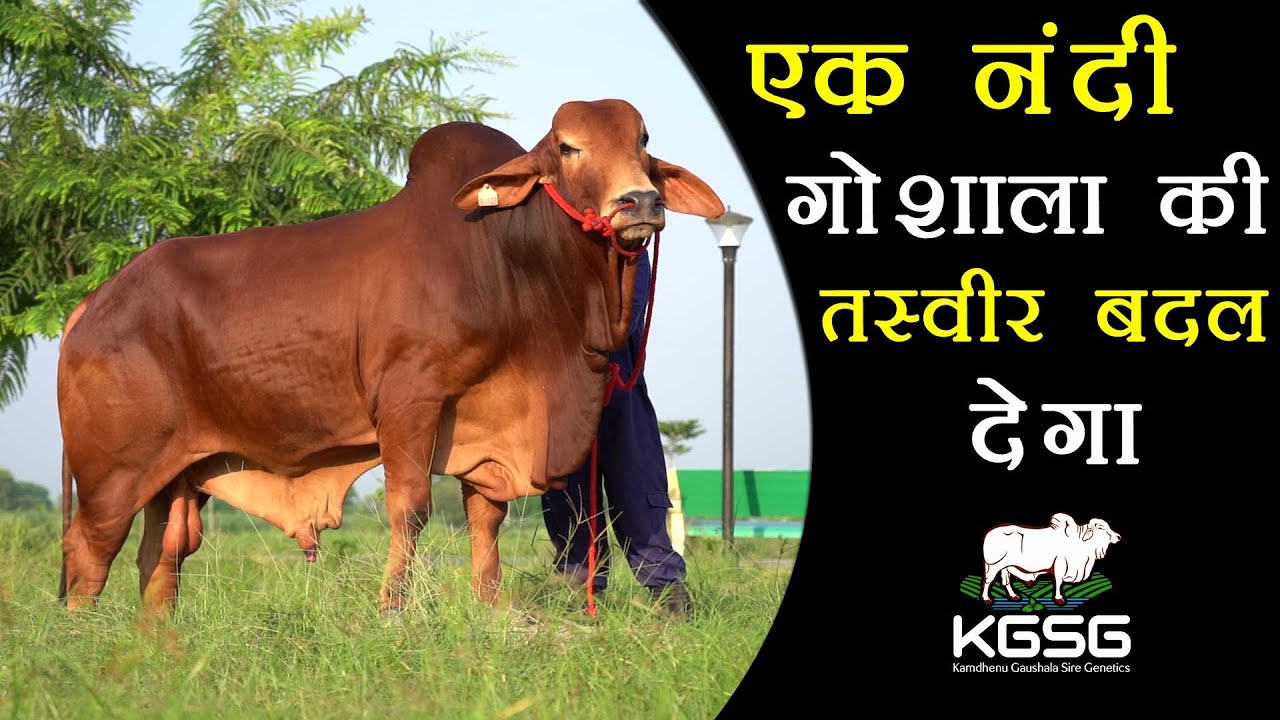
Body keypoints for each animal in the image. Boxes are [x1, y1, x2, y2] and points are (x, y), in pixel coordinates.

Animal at [54, 98, 726, 616]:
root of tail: (94, 302)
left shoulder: (484, 431)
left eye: (643, 141)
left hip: (177, 475)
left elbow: (485, 519)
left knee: (161, 556)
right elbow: (411, 510)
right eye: (568, 147)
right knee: (88, 551)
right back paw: (82, 643)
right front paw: (393, 609)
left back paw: (157, 644)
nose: (640, 202)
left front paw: (491, 608)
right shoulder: (409, 400)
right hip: (112, 472)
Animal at [979, 513, 1121, 606]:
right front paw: (1059, 598)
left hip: (1005, 566)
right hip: (994, 565)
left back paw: (1013, 596)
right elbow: (1058, 582)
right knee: (988, 580)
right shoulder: (1060, 565)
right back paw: (986, 599)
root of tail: (989, 534)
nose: (1118, 537)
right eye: (1101, 528)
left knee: (1006, 581)